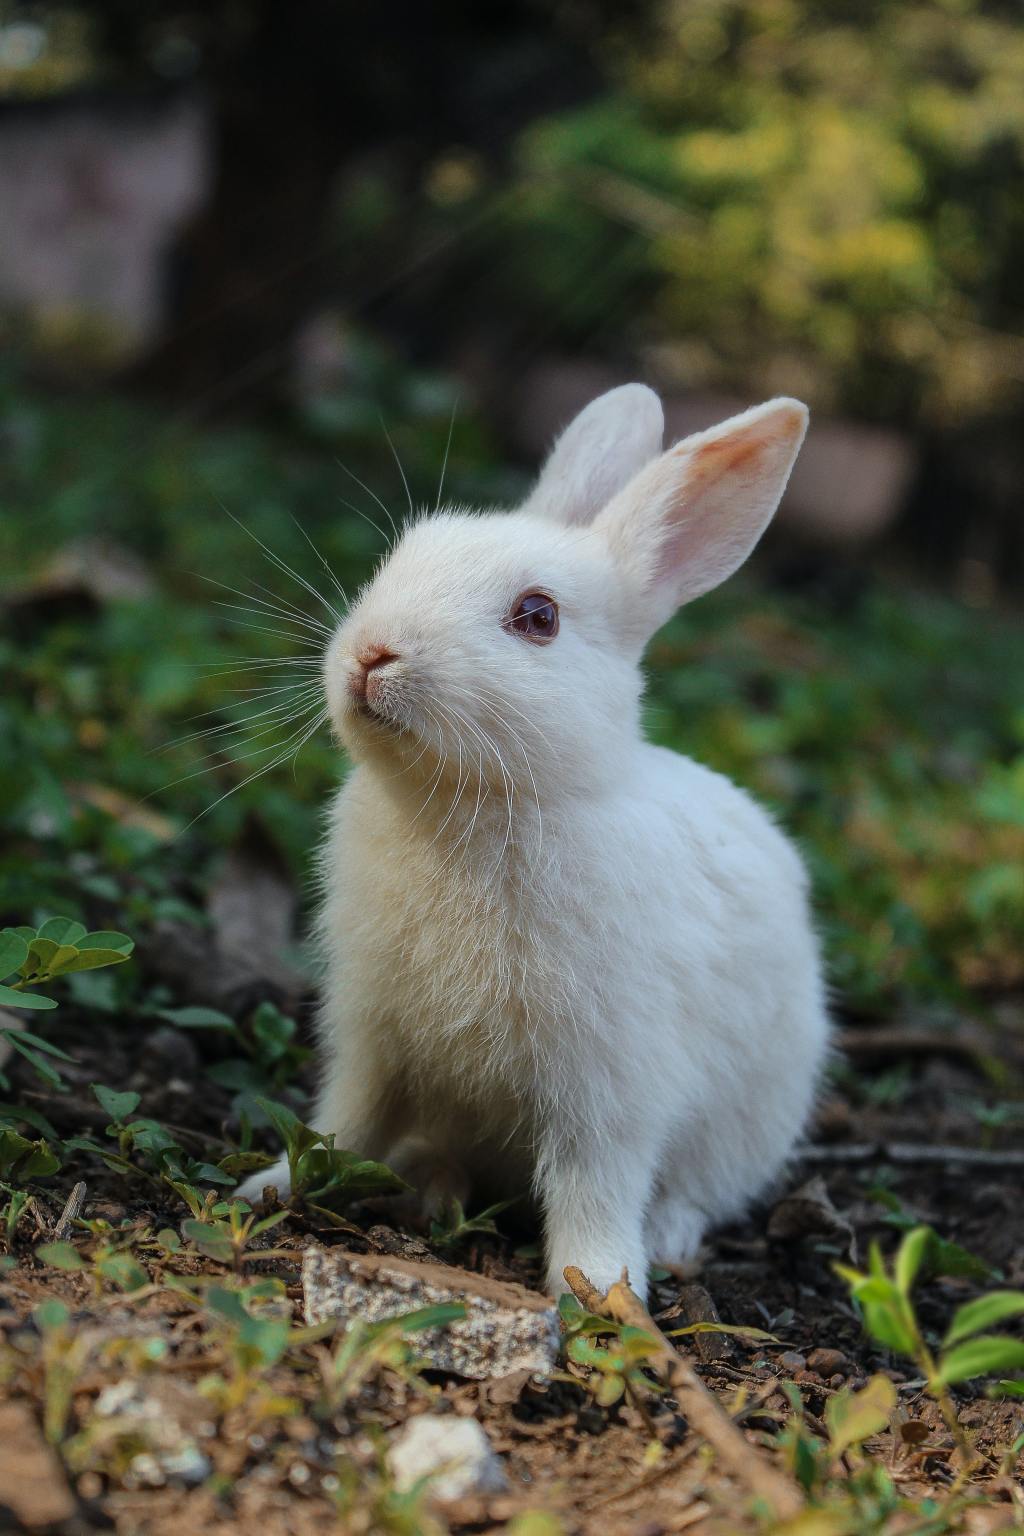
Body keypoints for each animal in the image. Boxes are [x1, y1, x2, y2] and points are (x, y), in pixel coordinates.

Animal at [239, 384, 830, 1298]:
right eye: (401, 556)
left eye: (538, 616)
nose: (372, 654)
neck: (476, 805)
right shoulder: (371, 1036)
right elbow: (345, 1120)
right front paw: (273, 1185)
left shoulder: (609, 1083)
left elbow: (595, 1183)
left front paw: (601, 1290)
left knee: (697, 1190)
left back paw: (666, 1239)